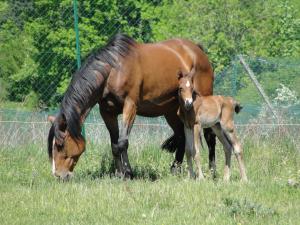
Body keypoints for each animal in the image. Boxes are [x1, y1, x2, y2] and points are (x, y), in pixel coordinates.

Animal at [47, 33, 216, 180]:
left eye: (60, 145)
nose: (58, 175)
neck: (114, 70)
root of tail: (197, 50)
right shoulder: (107, 112)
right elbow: (114, 144)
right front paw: (119, 173)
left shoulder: (130, 106)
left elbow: (122, 142)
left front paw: (128, 173)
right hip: (172, 111)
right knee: (181, 136)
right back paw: (175, 169)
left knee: (209, 135)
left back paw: (212, 170)